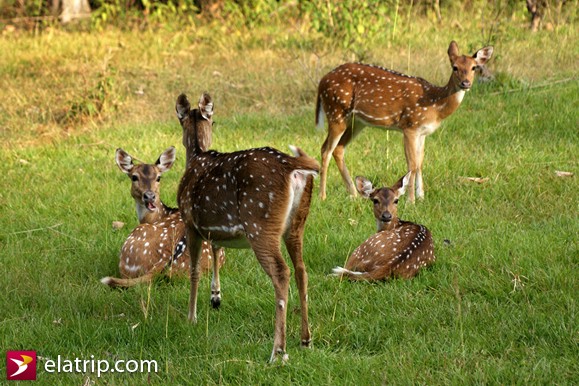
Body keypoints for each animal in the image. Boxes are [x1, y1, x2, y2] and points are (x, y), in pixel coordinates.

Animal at [177, 92, 322, 362]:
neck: (197, 156)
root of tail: (292, 166)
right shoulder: (214, 228)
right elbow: (215, 250)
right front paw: (215, 297)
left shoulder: (190, 222)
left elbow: (194, 270)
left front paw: (191, 318)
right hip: (297, 224)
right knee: (301, 269)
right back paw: (306, 340)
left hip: (260, 222)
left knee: (281, 272)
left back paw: (278, 351)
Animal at [318, 40, 494, 202]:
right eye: (455, 67)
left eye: (474, 68)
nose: (466, 83)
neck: (435, 105)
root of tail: (322, 81)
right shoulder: (410, 126)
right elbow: (412, 165)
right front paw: (411, 201)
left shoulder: (423, 133)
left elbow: (420, 163)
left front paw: (421, 197)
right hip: (336, 111)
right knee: (325, 149)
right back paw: (323, 196)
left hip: (357, 121)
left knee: (338, 148)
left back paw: (354, 194)